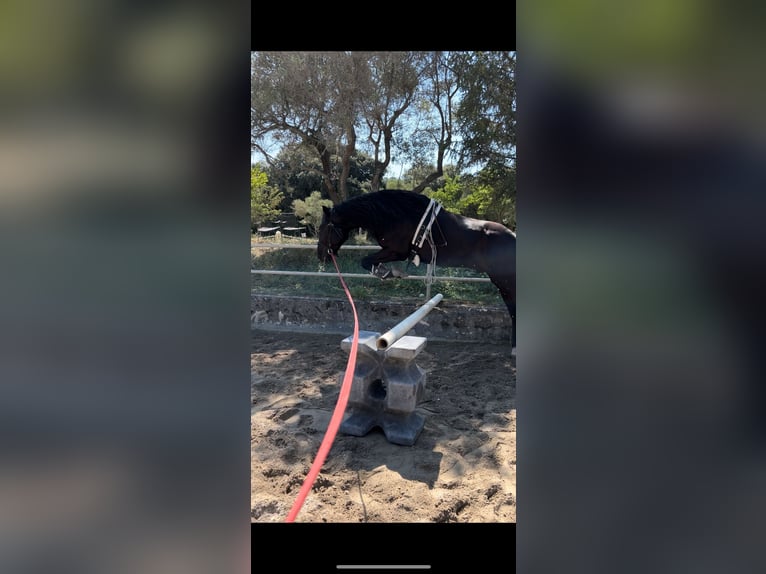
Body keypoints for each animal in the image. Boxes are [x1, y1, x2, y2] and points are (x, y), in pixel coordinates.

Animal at [318, 191, 516, 348]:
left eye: (322, 229)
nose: (321, 256)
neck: (392, 216)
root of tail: (512, 236)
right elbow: (367, 262)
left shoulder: (396, 251)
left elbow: (365, 261)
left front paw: (388, 273)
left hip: (504, 279)